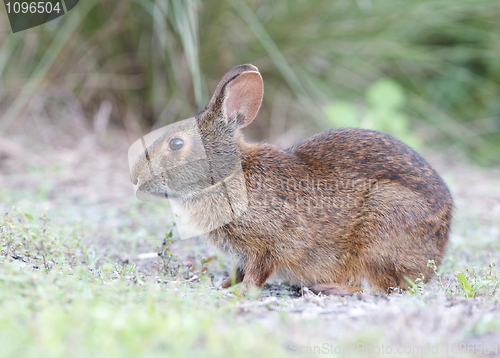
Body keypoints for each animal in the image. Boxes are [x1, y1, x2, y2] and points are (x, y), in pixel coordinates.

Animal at [129, 64, 454, 296]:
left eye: (175, 144)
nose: (134, 177)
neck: (230, 175)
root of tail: (438, 250)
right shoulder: (243, 254)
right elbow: (237, 271)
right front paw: (220, 286)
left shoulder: (270, 243)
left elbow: (257, 272)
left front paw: (241, 293)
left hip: (383, 224)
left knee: (379, 287)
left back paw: (328, 288)